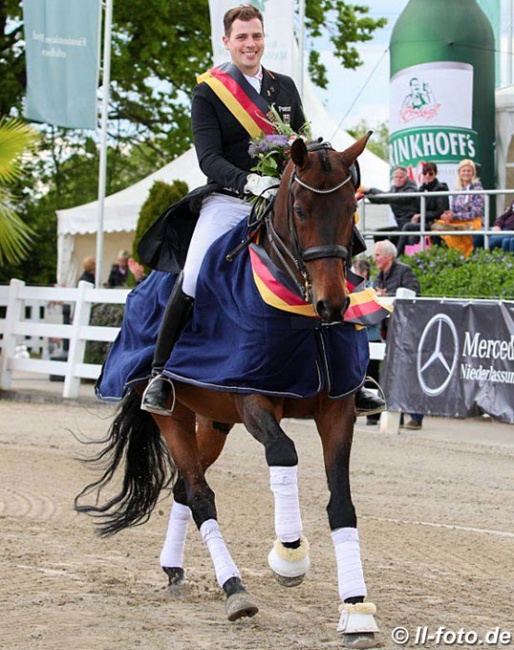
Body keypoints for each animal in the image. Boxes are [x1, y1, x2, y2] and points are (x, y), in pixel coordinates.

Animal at [77, 134, 380, 644]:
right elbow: (283, 453)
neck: (300, 314)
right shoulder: (253, 397)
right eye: (300, 209)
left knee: (184, 488)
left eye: (350, 211)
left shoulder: (337, 409)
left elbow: (342, 504)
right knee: (200, 495)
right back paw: (235, 589)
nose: (334, 306)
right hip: (173, 415)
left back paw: (175, 569)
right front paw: (289, 555)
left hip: (215, 421)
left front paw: (357, 608)